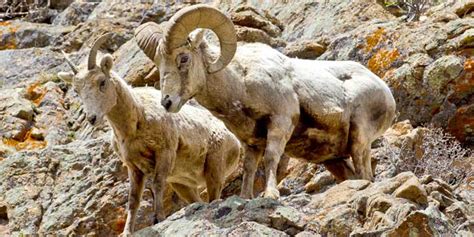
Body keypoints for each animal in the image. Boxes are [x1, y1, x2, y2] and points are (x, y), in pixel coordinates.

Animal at [58, 33, 241, 235]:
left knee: (214, 196)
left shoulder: (164, 153)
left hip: (214, 170)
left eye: (102, 82)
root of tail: (235, 140)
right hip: (182, 185)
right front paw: (127, 231)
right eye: (77, 90)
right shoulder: (134, 167)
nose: (92, 118)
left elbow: (157, 184)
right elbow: (133, 200)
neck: (136, 121)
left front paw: (158, 218)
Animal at [133, 4, 396, 199]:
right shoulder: (250, 142)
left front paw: (270, 195)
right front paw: (246, 197)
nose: (167, 102)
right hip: (334, 160)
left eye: (184, 58)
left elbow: (271, 158)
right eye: (159, 64)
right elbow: (250, 169)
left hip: (359, 140)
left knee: (365, 173)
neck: (241, 84)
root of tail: (385, 92)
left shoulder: (280, 122)